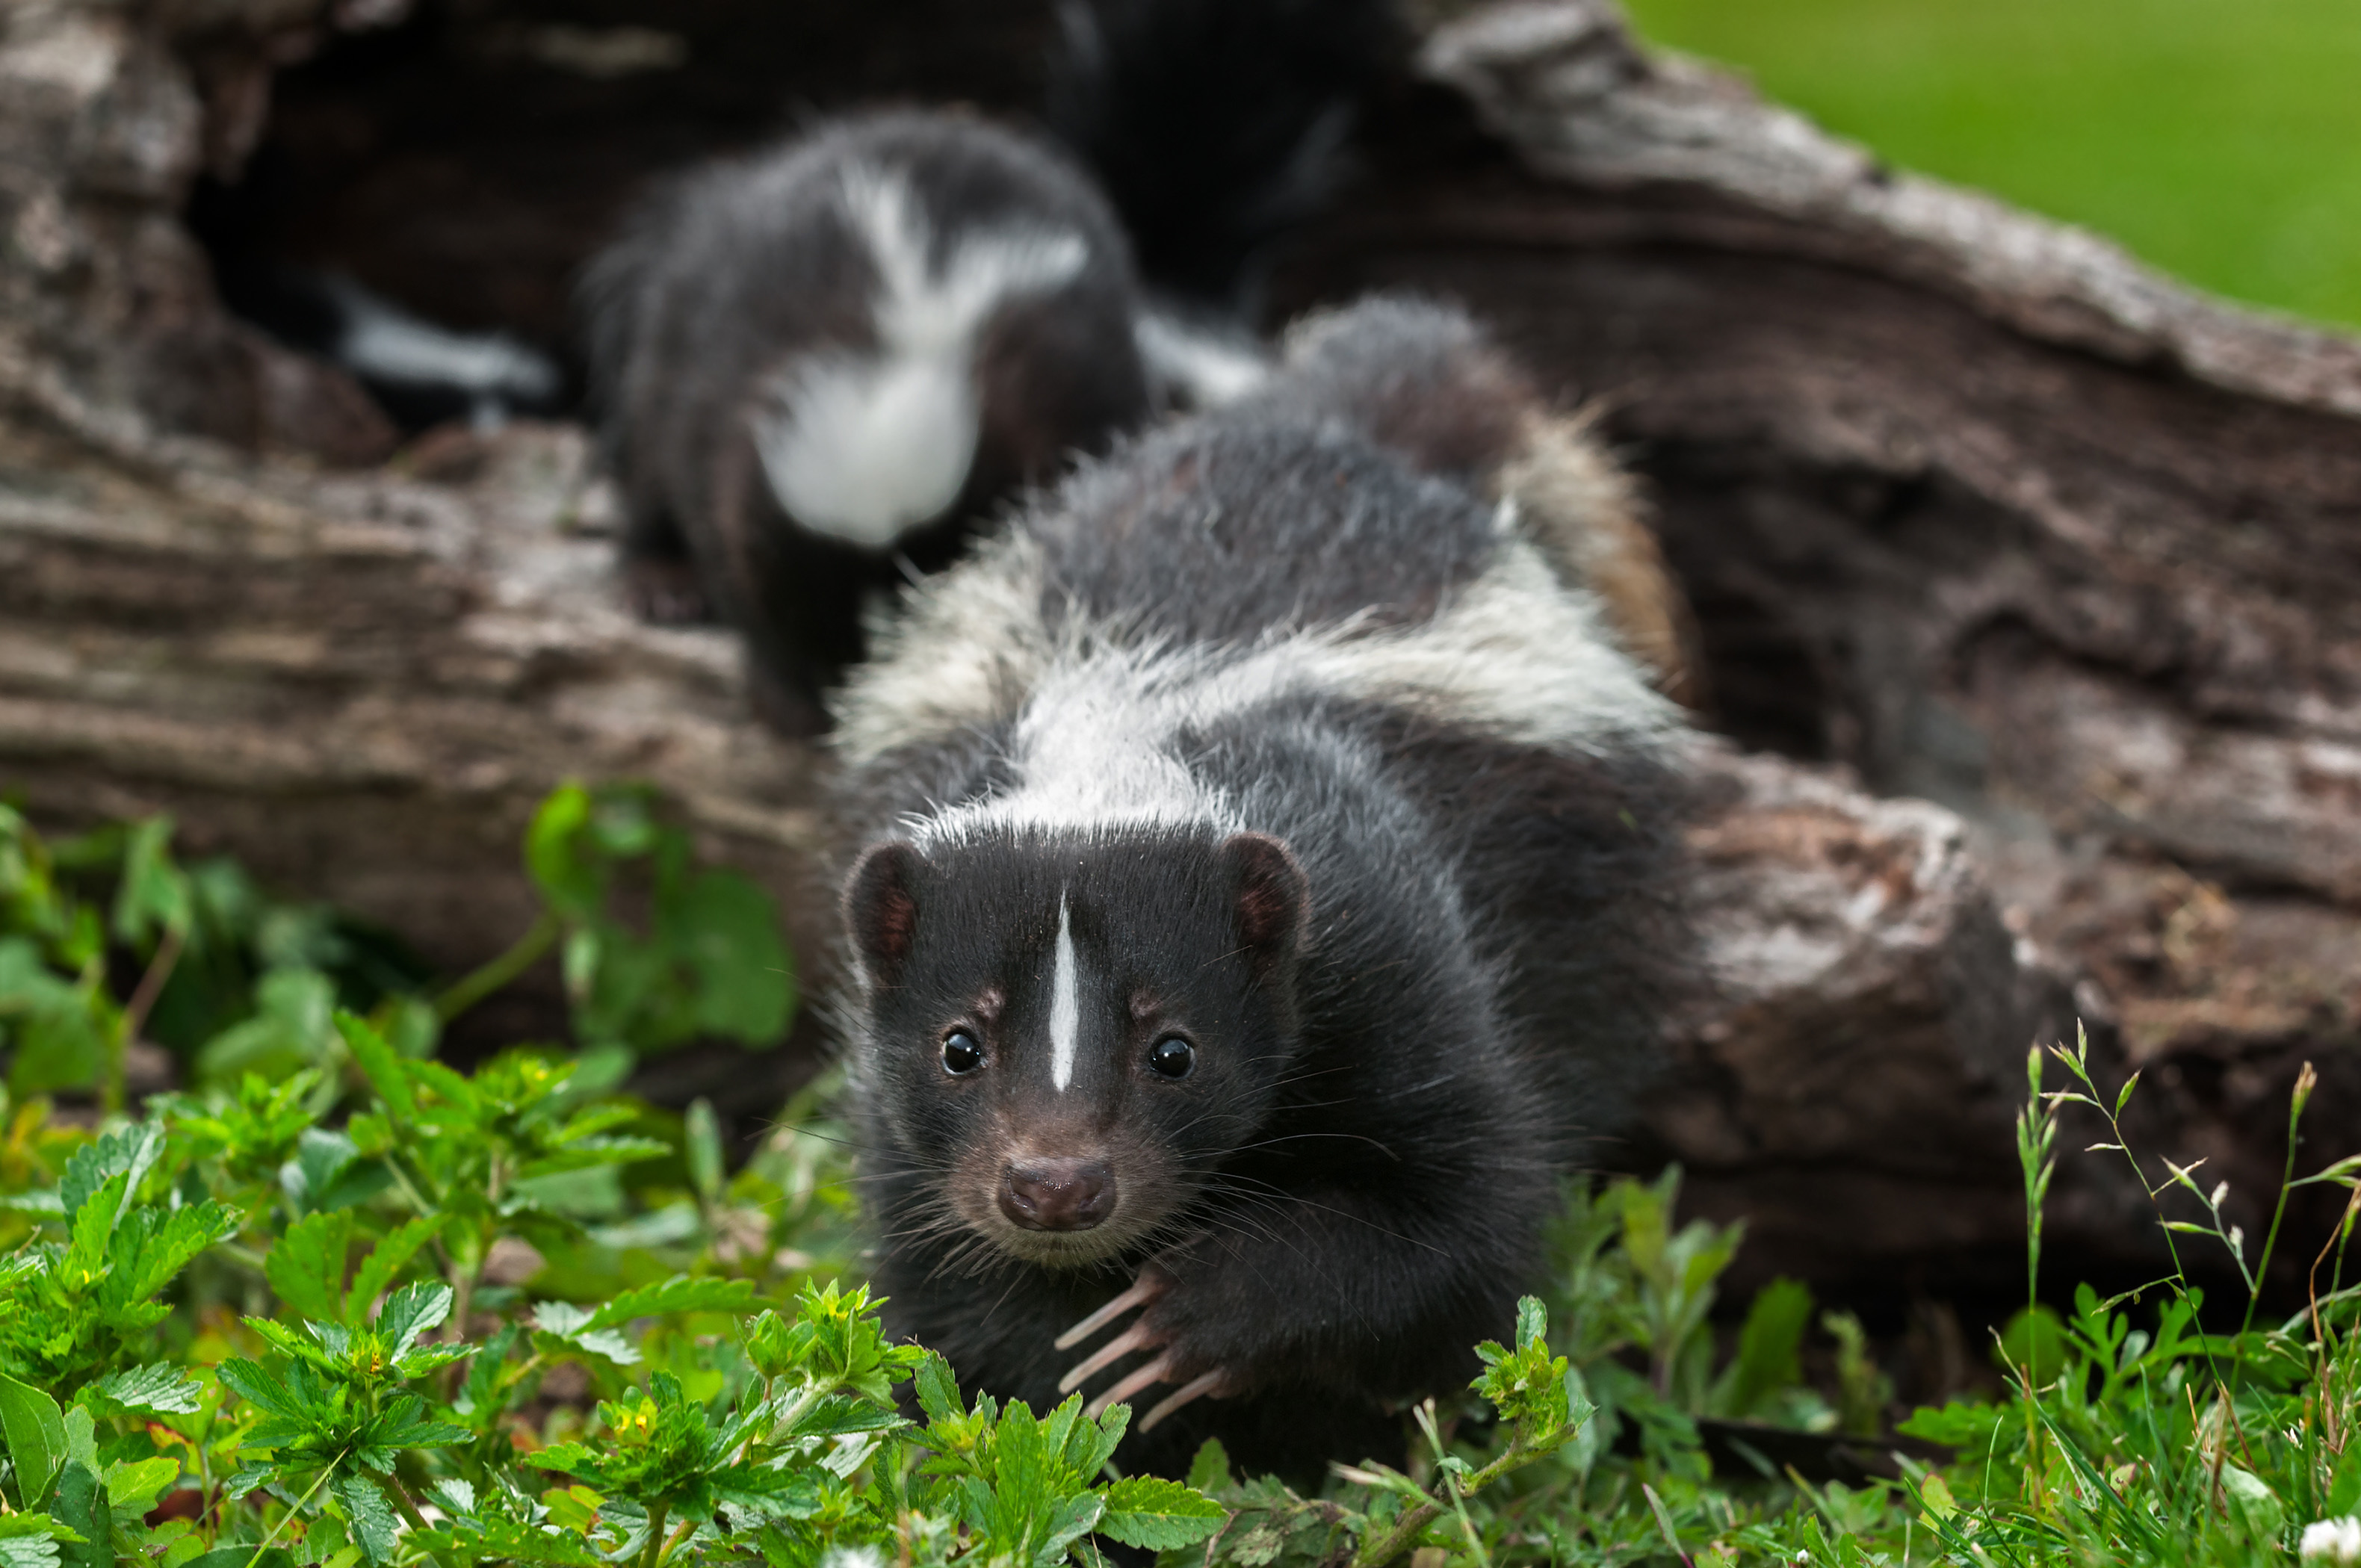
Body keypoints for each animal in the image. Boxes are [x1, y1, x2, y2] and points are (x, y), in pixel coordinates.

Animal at [831, 297, 1700, 1483]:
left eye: (1175, 1050)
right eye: (958, 1045)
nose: (1056, 1184)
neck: (1131, 723)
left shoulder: (1387, 934)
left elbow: (1464, 1228)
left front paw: (1186, 1323)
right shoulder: (895, 1109)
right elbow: (955, 1295)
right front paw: (1074, 1414)